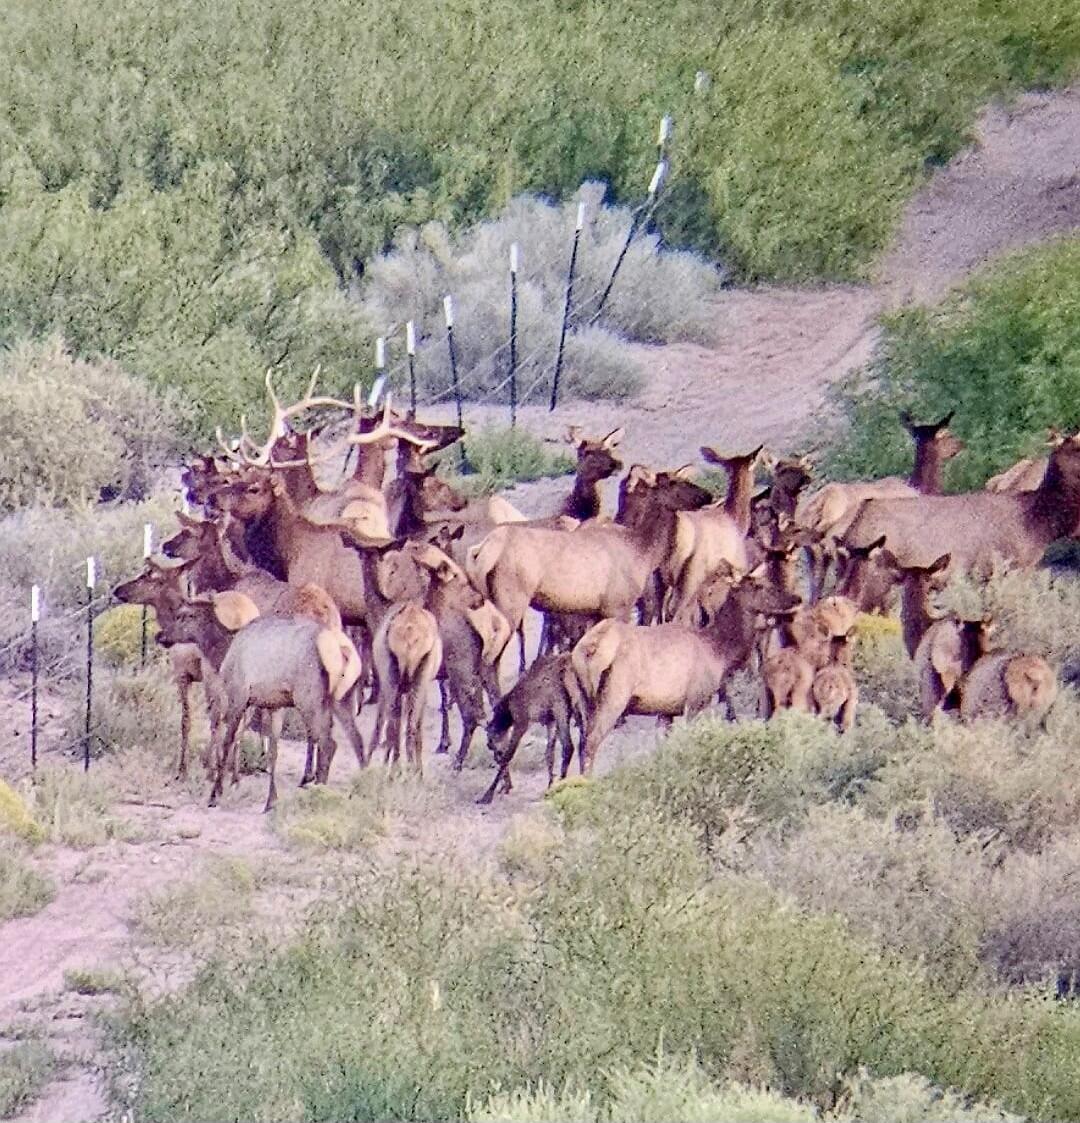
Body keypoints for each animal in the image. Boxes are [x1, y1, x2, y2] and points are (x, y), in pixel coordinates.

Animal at [476, 655, 583, 804]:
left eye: (491, 740)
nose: (489, 745)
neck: (508, 713)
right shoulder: (550, 721)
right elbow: (549, 754)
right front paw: (550, 786)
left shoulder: (522, 720)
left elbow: (509, 755)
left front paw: (487, 795)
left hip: (560, 705)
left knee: (569, 746)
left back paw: (563, 783)